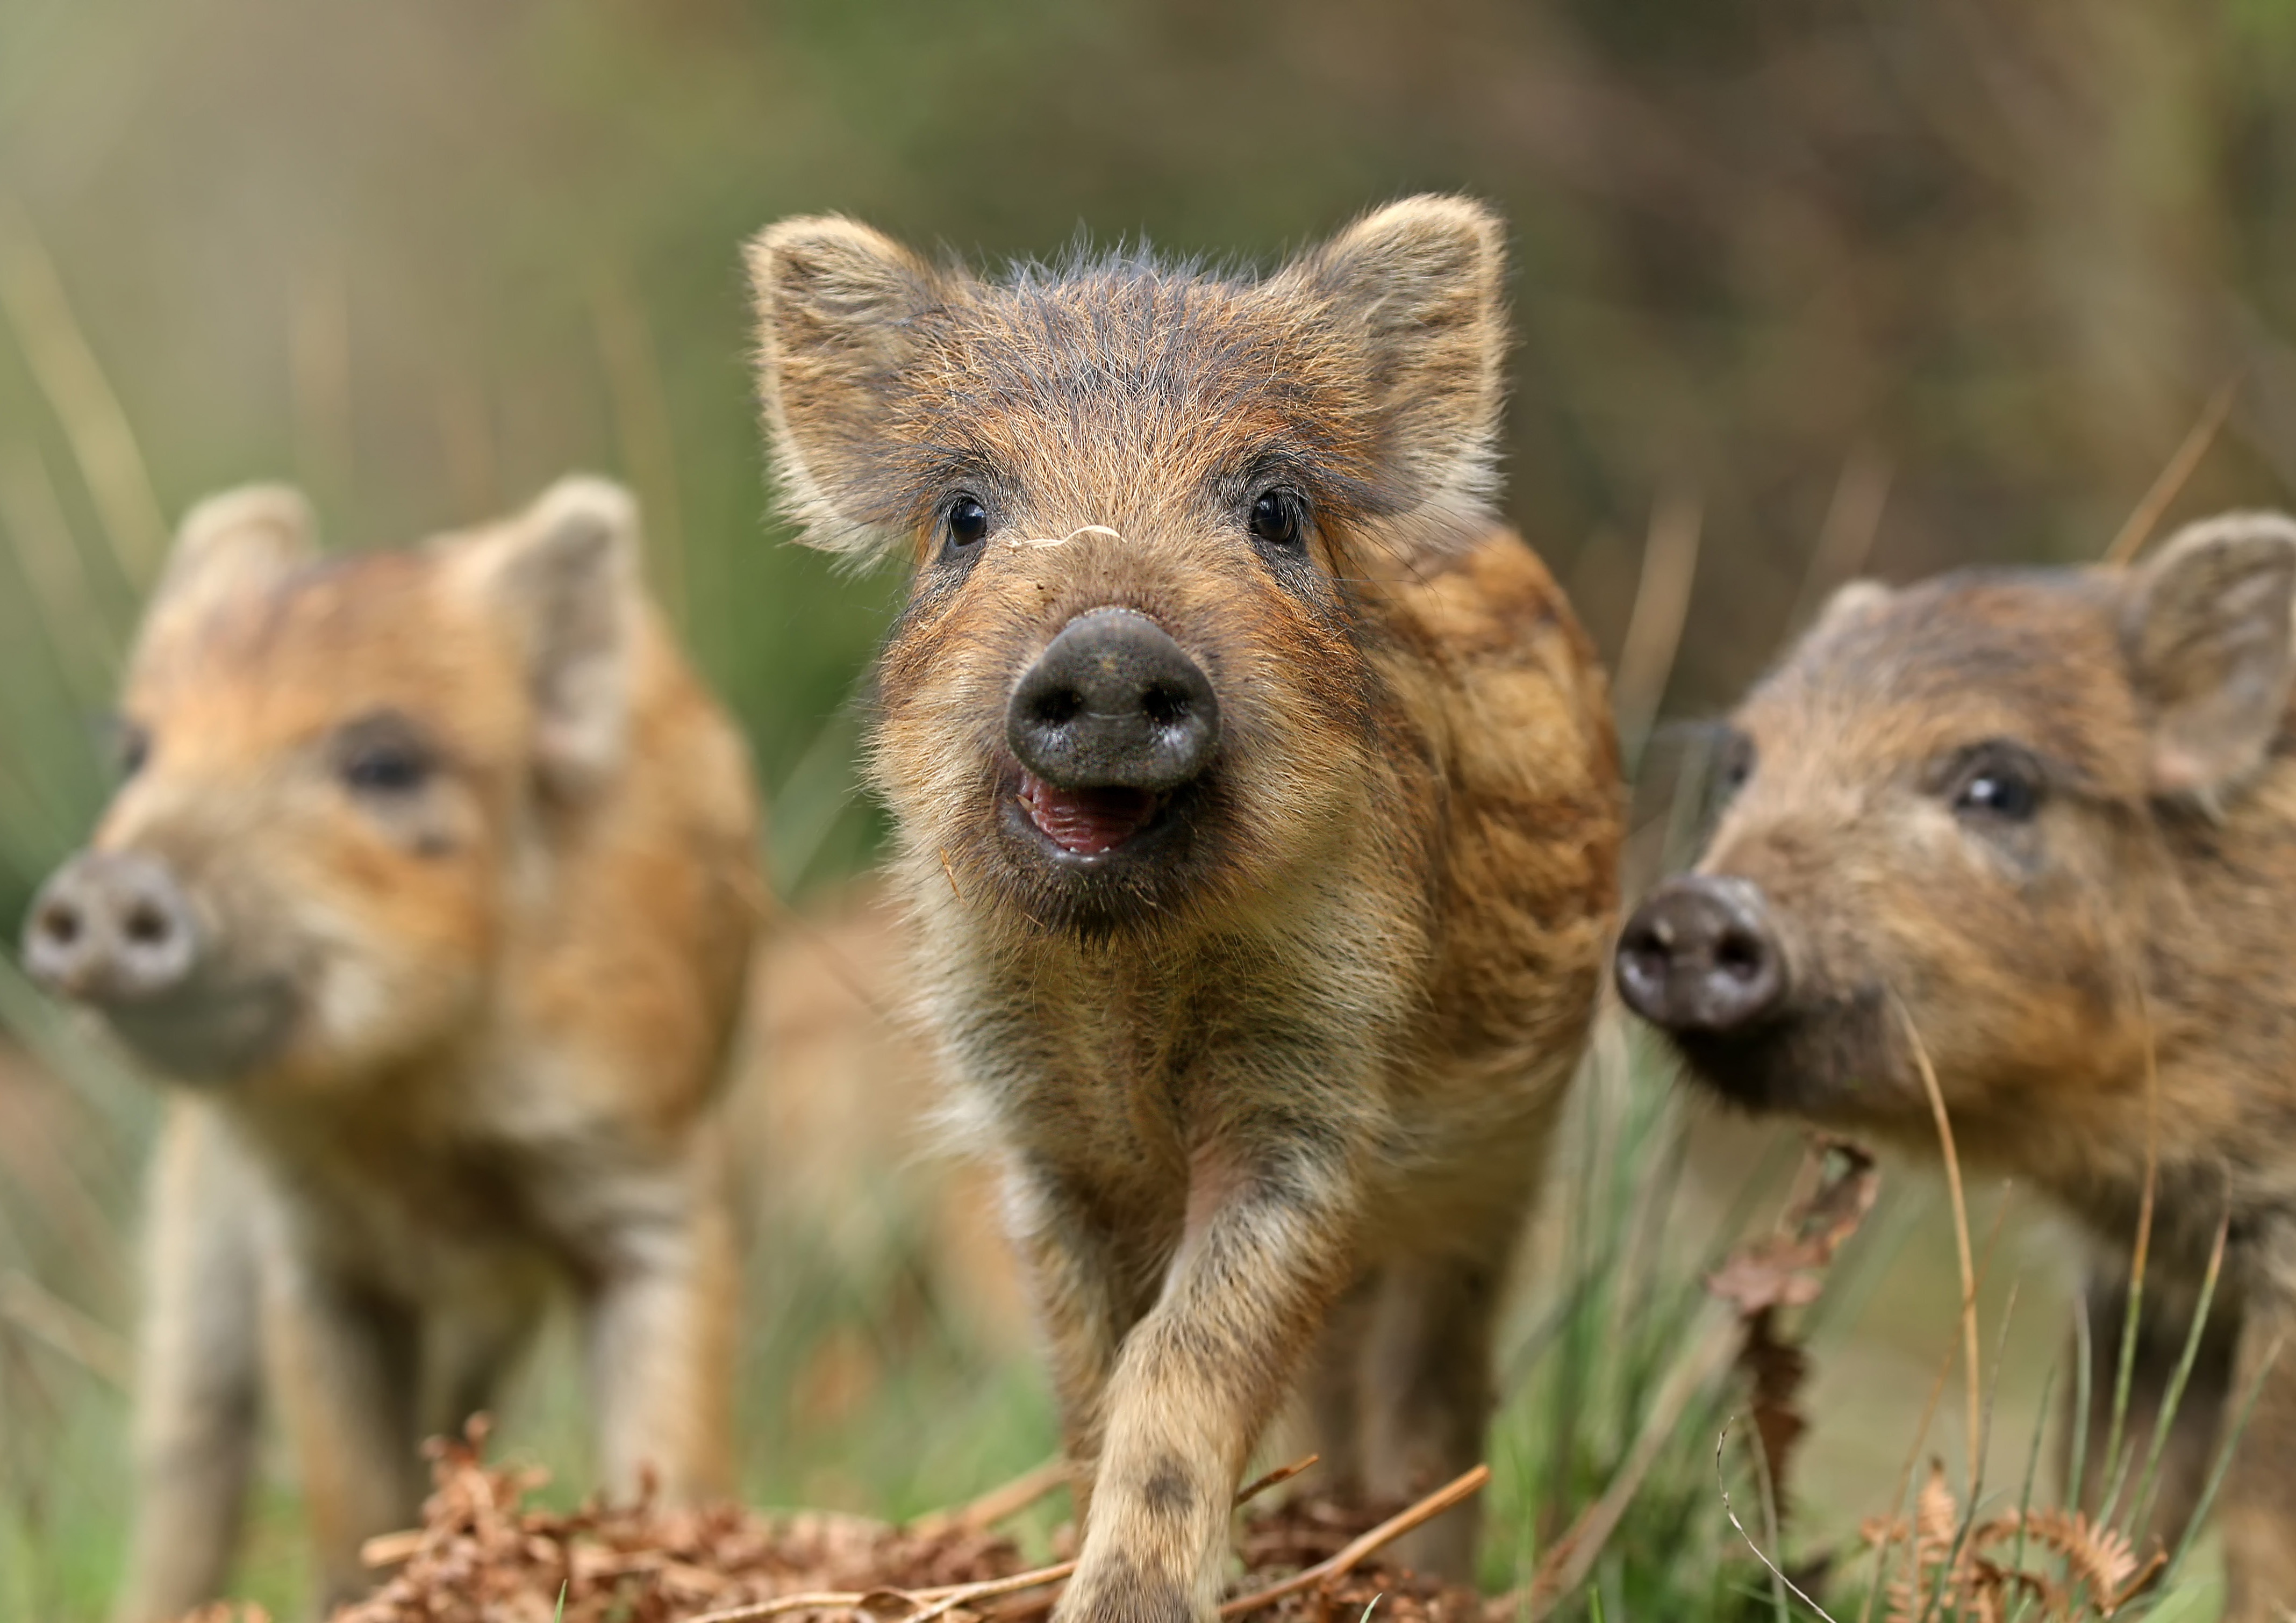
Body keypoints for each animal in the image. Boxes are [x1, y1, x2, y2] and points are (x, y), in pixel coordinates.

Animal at [20, 477, 760, 1621]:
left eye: (383, 763)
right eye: (137, 754)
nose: (105, 885)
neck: (409, 1110)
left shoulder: (656, 1184)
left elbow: (671, 1449)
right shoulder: (307, 1247)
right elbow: (347, 1496)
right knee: (192, 1448)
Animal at [743, 196, 1623, 1623]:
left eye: (1274, 510)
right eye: (964, 515)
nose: (1108, 652)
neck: (1124, 981)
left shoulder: (1312, 1097)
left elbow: (1186, 1354)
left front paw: (1129, 1602)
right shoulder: (1035, 1135)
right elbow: (1092, 1376)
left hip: (1495, 1181)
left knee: (1434, 1392)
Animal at [1614, 512, 2296, 1619]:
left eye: (1996, 788)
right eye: (1741, 767)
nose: (1694, 908)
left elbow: (2258, 1522)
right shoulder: (2145, 1281)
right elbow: (2115, 1490)